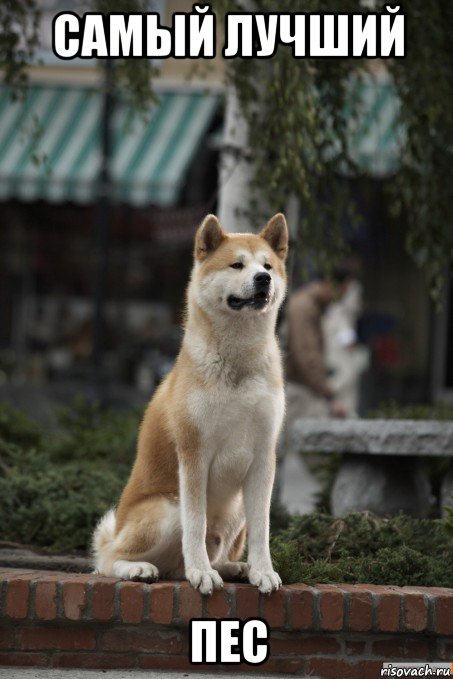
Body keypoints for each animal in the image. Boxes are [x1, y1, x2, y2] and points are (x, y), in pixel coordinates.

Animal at [93, 212, 288, 596]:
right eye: (237, 264)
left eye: (268, 266)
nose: (263, 279)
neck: (237, 364)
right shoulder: (194, 454)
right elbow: (195, 526)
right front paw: (201, 573)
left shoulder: (263, 457)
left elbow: (263, 530)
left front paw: (263, 571)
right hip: (167, 508)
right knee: (108, 560)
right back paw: (142, 568)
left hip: (236, 509)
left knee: (203, 558)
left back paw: (235, 568)